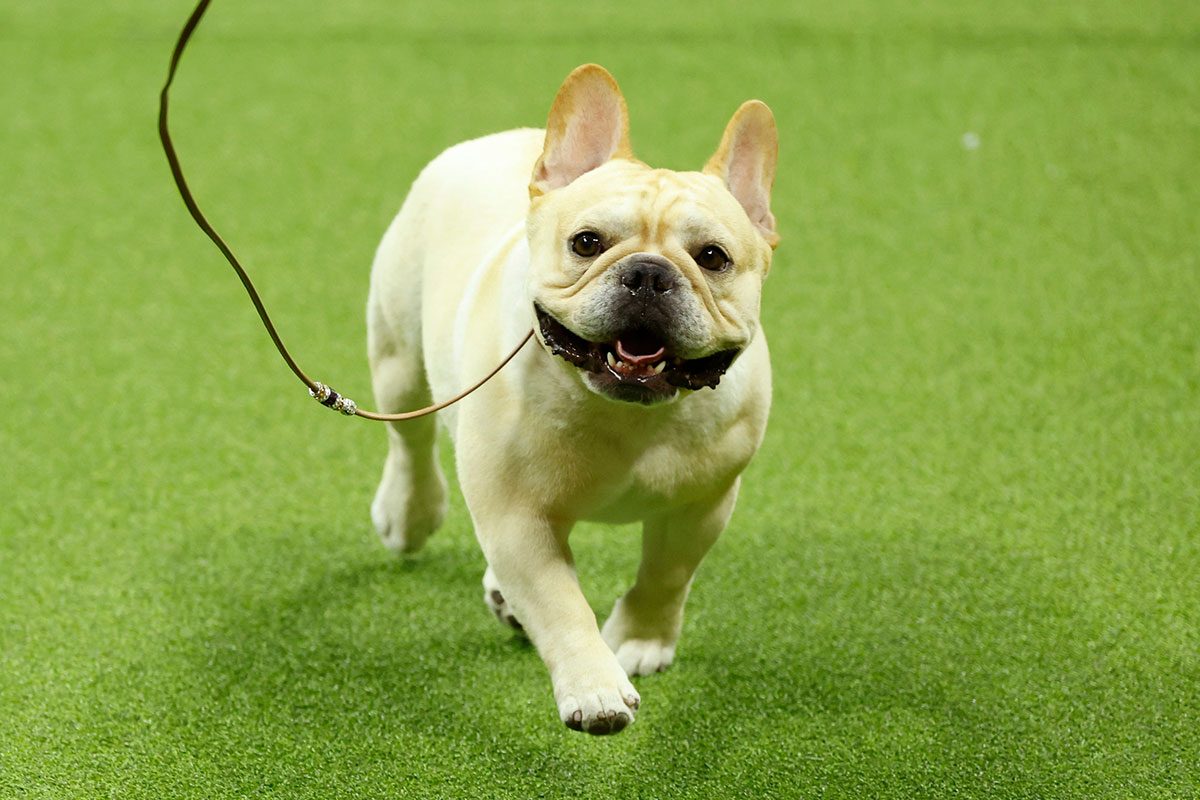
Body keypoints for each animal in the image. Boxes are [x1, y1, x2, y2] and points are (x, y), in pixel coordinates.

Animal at [364, 65, 777, 734]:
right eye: (586, 243)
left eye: (713, 258)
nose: (649, 273)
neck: (628, 411)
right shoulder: (518, 518)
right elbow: (560, 604)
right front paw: (595, 687)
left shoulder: (702, 505)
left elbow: (667, 573)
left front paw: (641, 639)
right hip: (398, 353)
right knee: (410, 435)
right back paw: (408, 510)